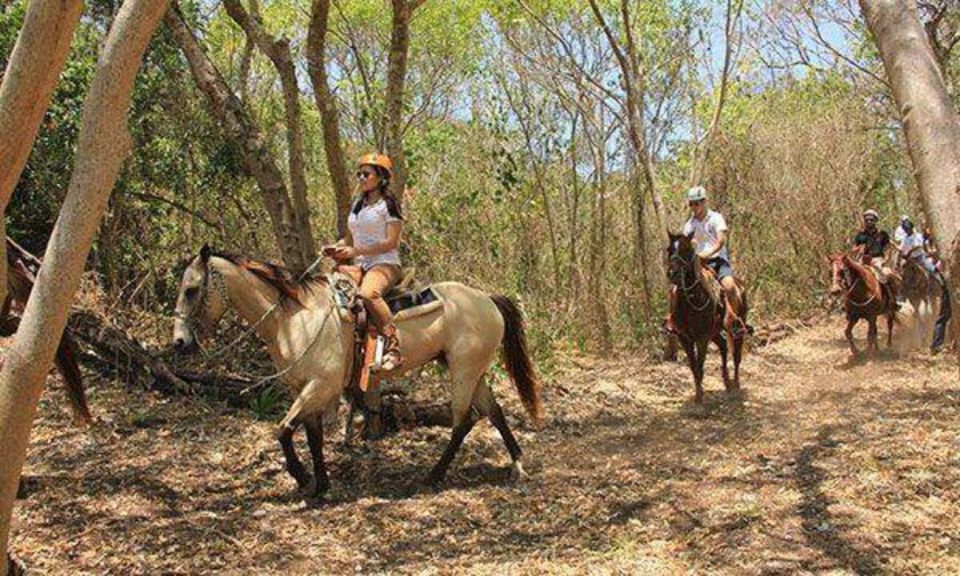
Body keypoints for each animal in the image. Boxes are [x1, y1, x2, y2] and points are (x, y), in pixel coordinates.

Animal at [173, 245, 544, 498]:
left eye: (191, 290)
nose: (179, 342)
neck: (293, 319)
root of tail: (487, 299)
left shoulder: (320, 386)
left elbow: (282, 430)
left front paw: (303, 478)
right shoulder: (303, 388)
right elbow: (311, 435)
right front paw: (321, 485)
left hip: (464, 371)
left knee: (464, 420)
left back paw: (434, 475)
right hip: (472, 370)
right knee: (493, 412)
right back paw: (517, 464)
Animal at [668, 232, 752, 402]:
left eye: (687, 249)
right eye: (669, 250)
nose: (673, 274)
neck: (692, 300)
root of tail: (741, 285)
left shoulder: (702, 337)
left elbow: (700, 366)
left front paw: (700, 399)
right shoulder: (684, 337)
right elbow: (694, 367)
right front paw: (698, 396)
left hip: (736, 328)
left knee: (736, 355)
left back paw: (736, 385)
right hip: (714, 332)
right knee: (723, 345)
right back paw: (727, 382)